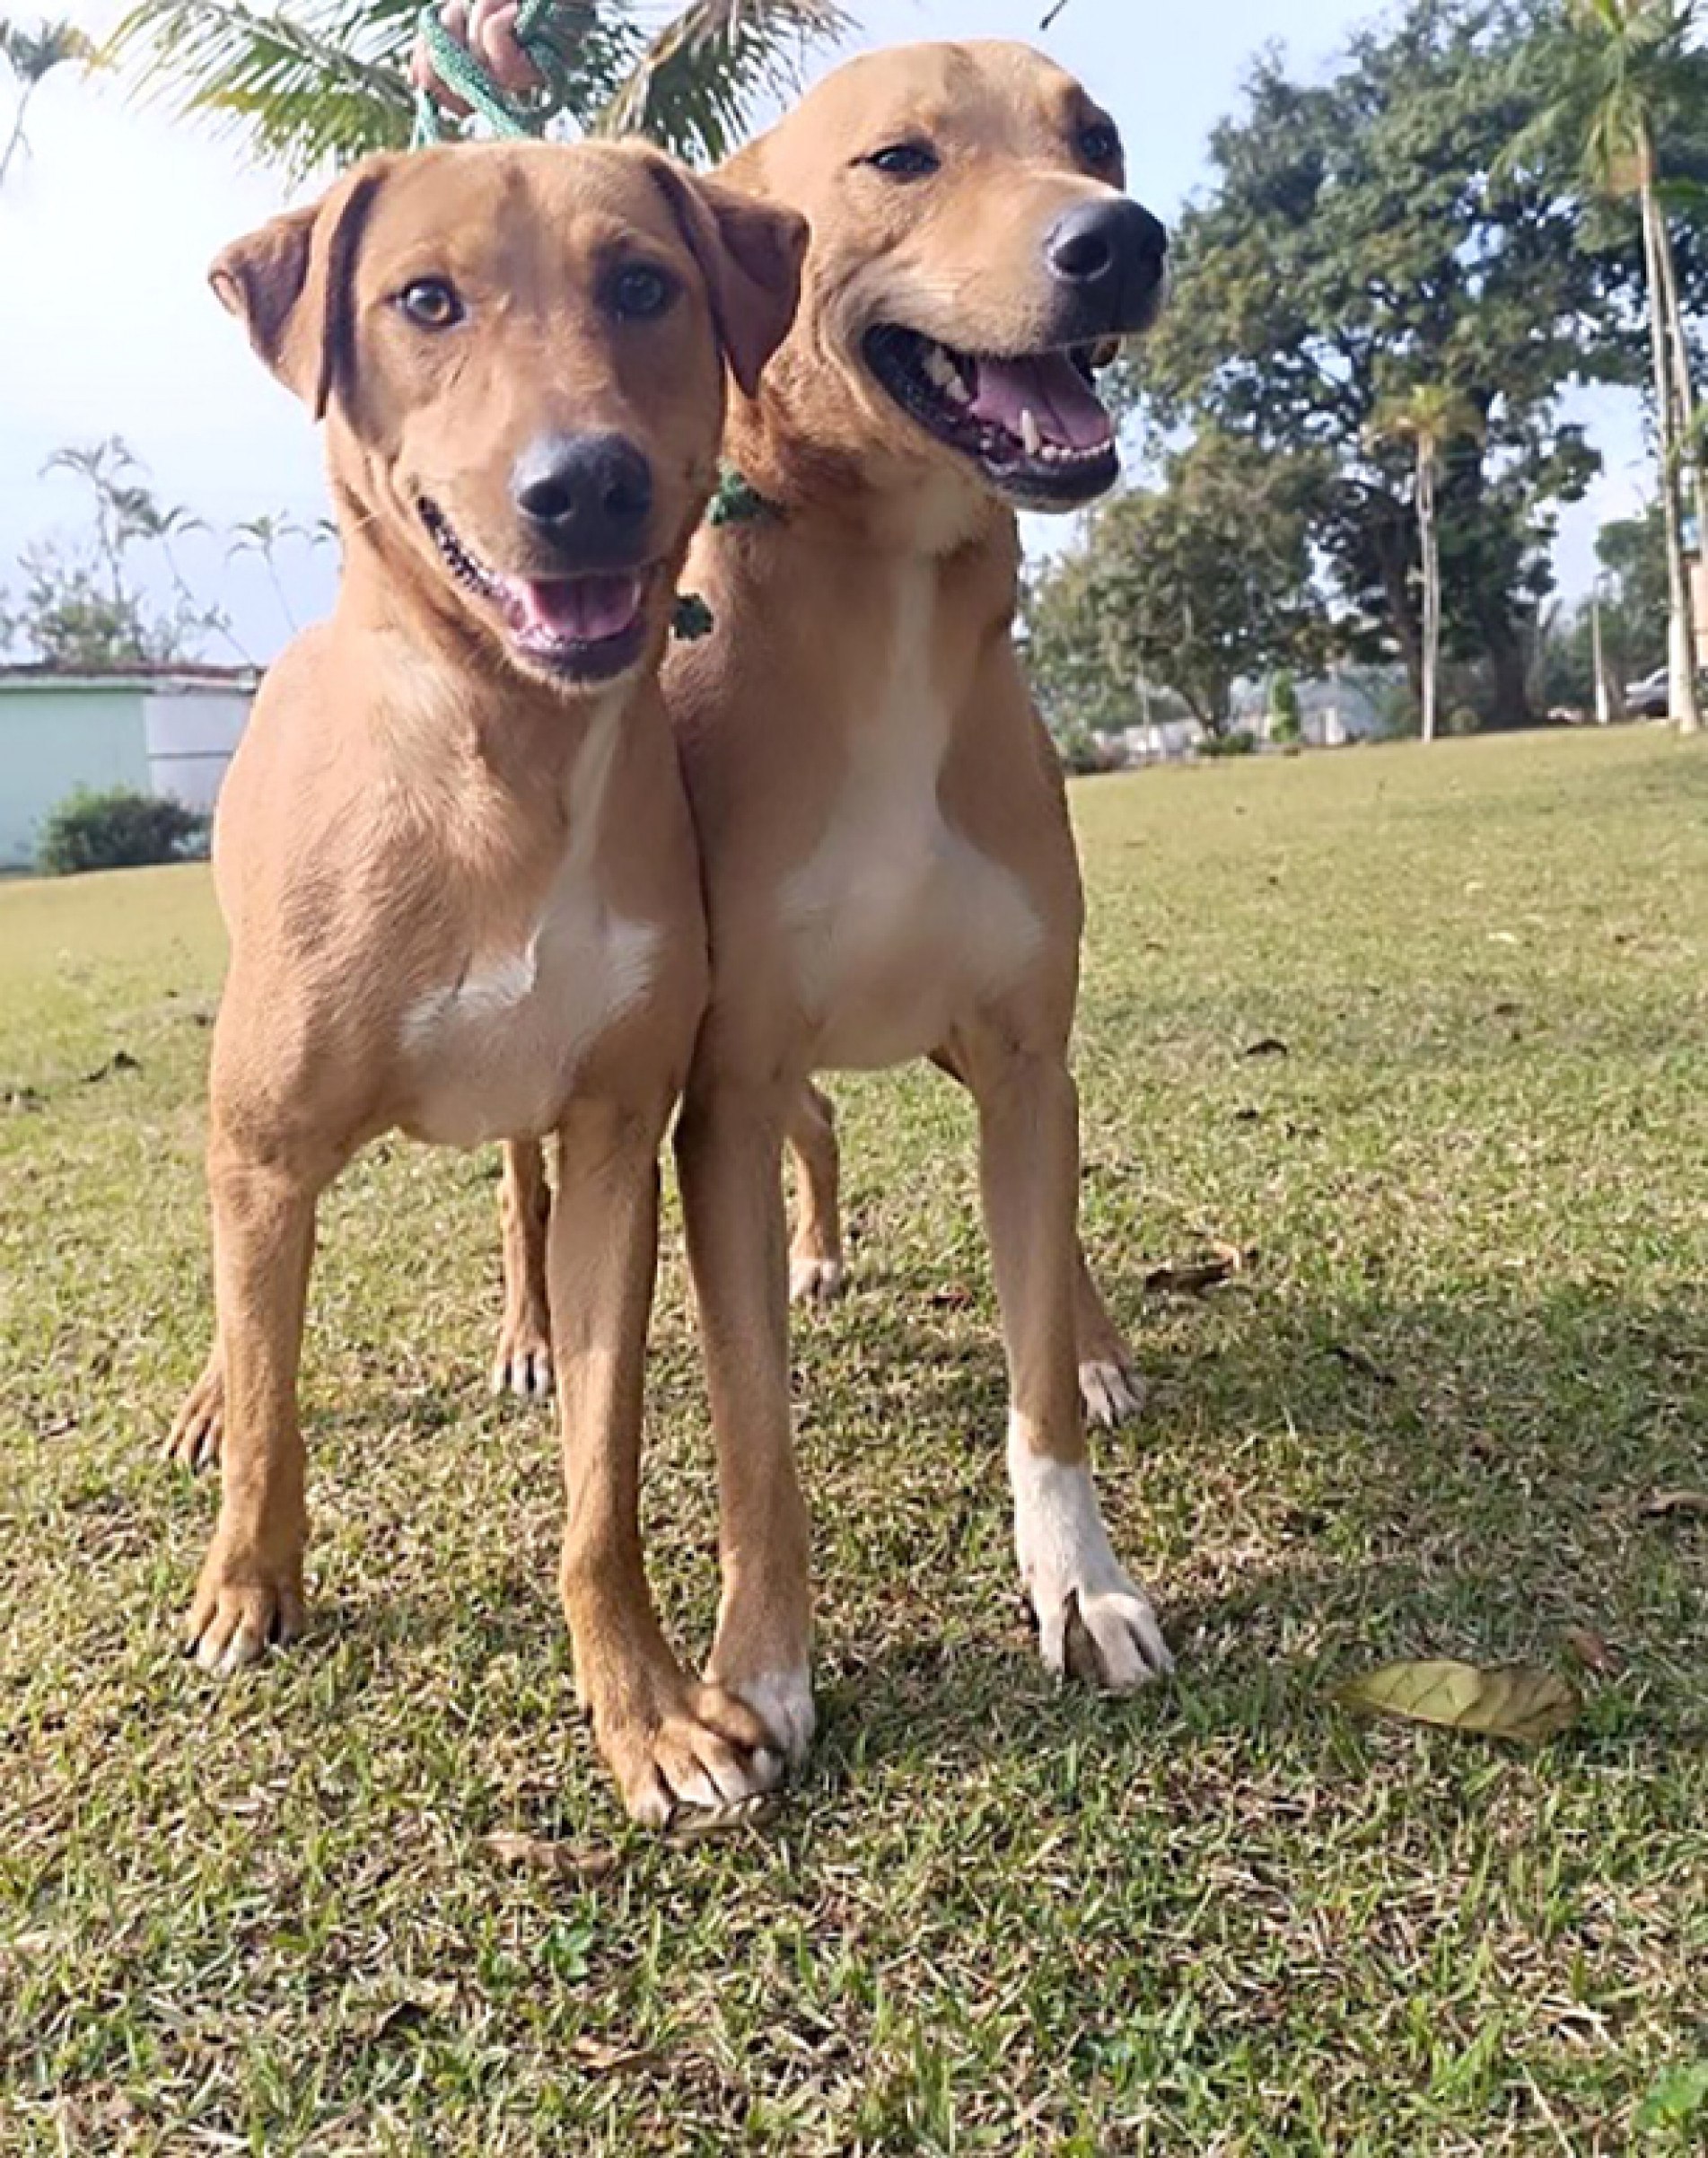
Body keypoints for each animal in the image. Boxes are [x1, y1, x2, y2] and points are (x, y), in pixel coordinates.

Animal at [170, 139, 810, 1820]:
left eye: (643, 283)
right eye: (423, 301)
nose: (583, 483)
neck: (499, 755)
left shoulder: (615, 1131)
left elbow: (601, 1476)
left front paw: (644, 1707)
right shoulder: (266, 1147)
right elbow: (271, 1396)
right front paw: (247, 1584)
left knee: (515, 1203)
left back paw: (522, 1330)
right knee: (244, 1312)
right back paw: (210, 1400)